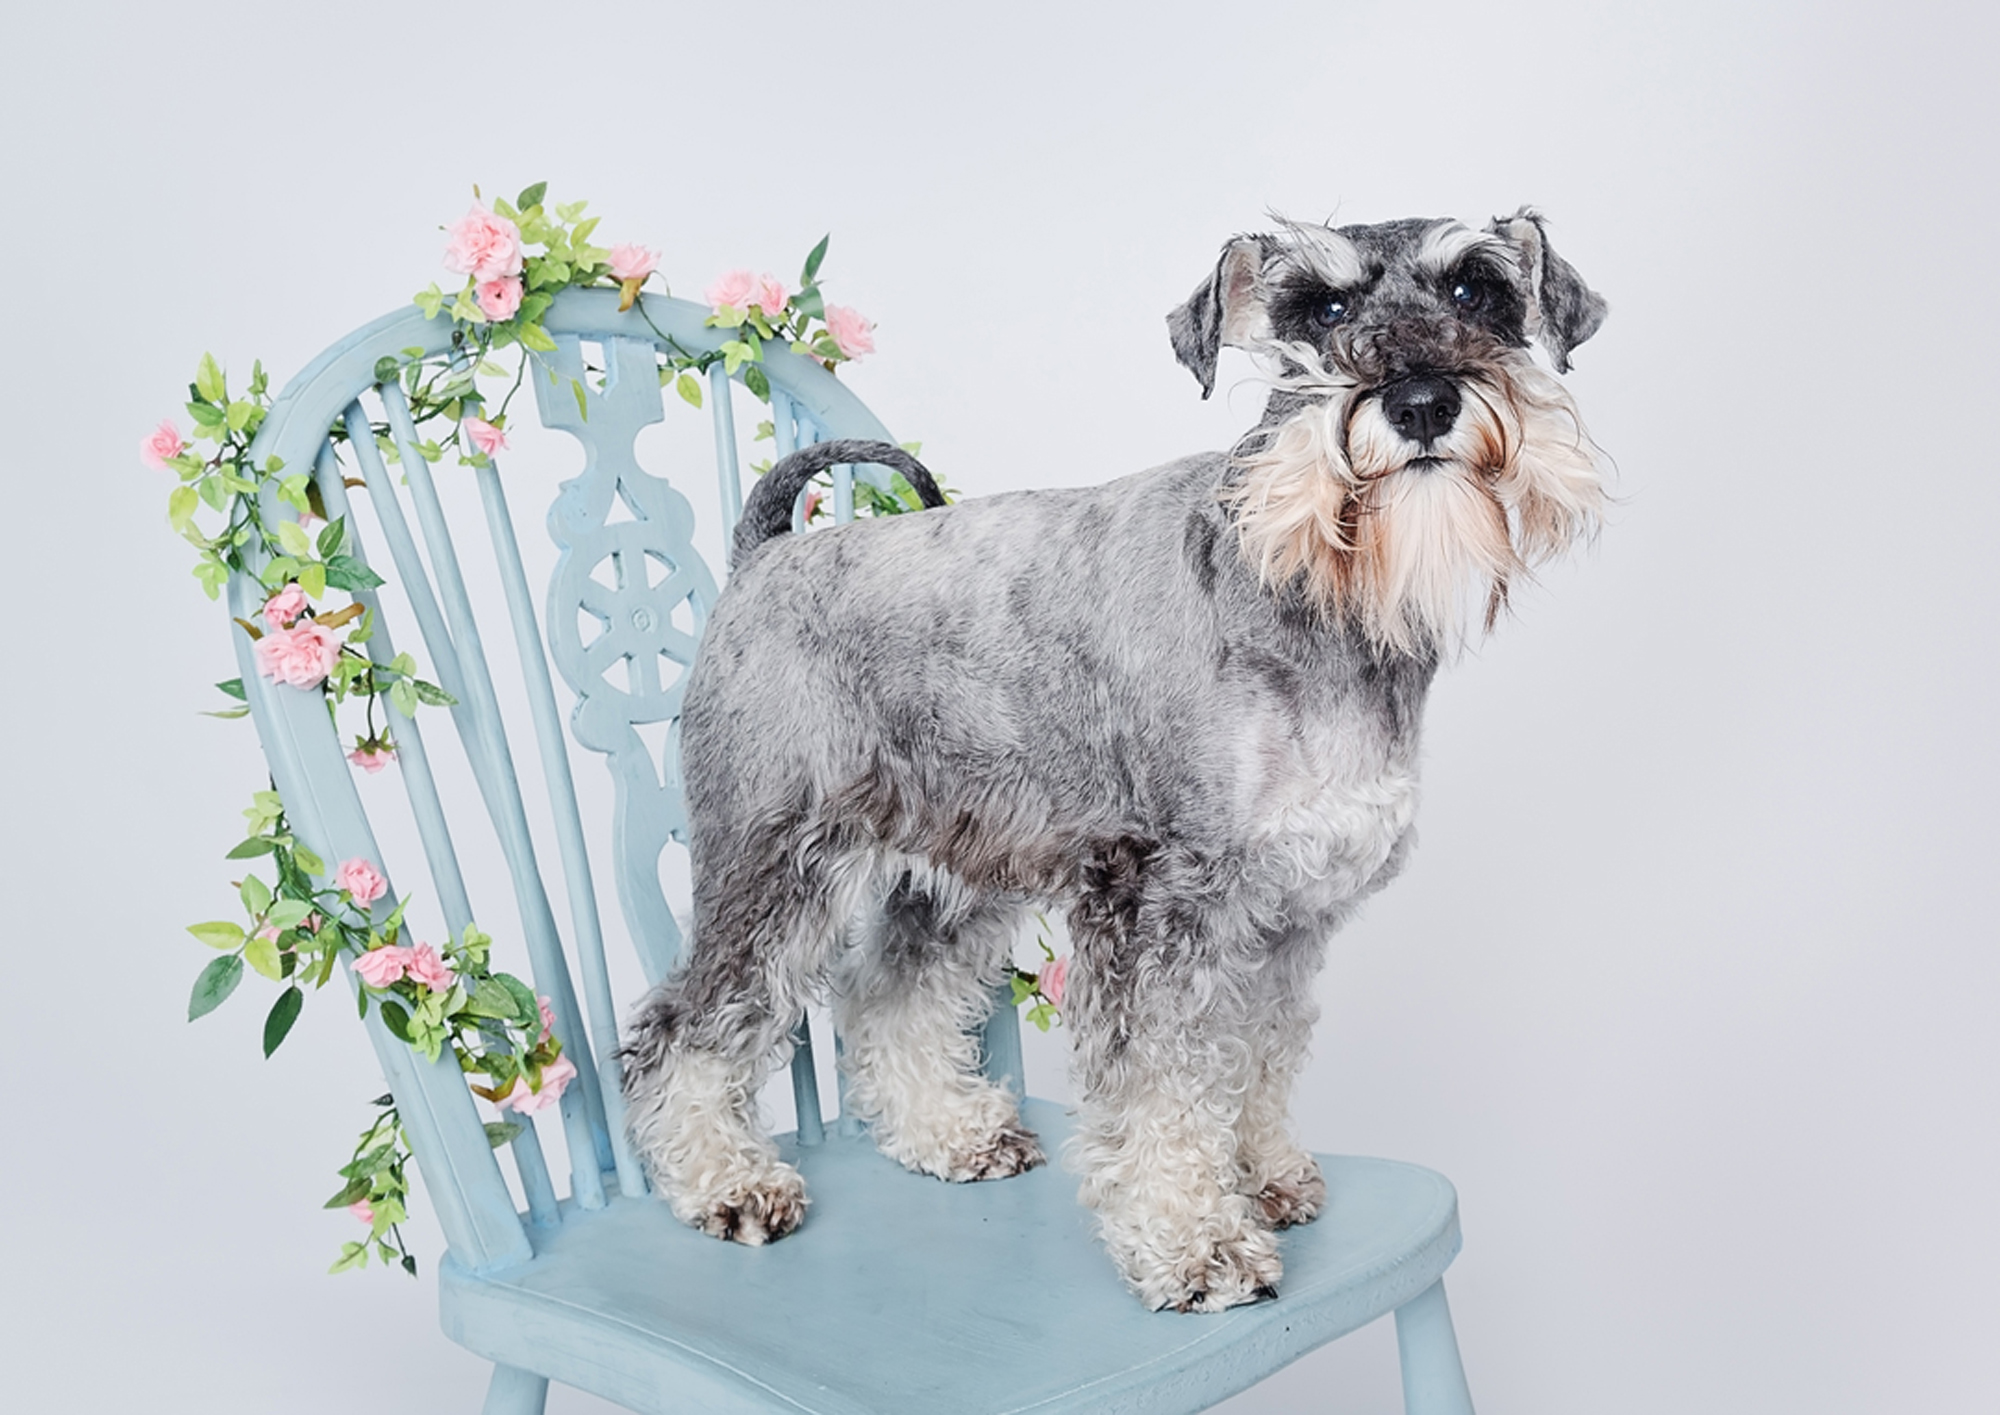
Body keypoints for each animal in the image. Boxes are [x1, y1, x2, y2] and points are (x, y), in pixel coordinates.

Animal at [620, 204, 1608, 1311]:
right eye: (1321, 307)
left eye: (1478, 290)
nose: (1422, 399)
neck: (1306, 584)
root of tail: (763, 553)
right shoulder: (1153, 896)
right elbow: (1162, 1084)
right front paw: (1195, 1239)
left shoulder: (1287, 910)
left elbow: (1254, 1050)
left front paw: (1259, 1171)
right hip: (770, 860)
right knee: (684, 1023)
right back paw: (726, 1180)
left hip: (961, 862)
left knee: (888, 992)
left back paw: (947, 1131)